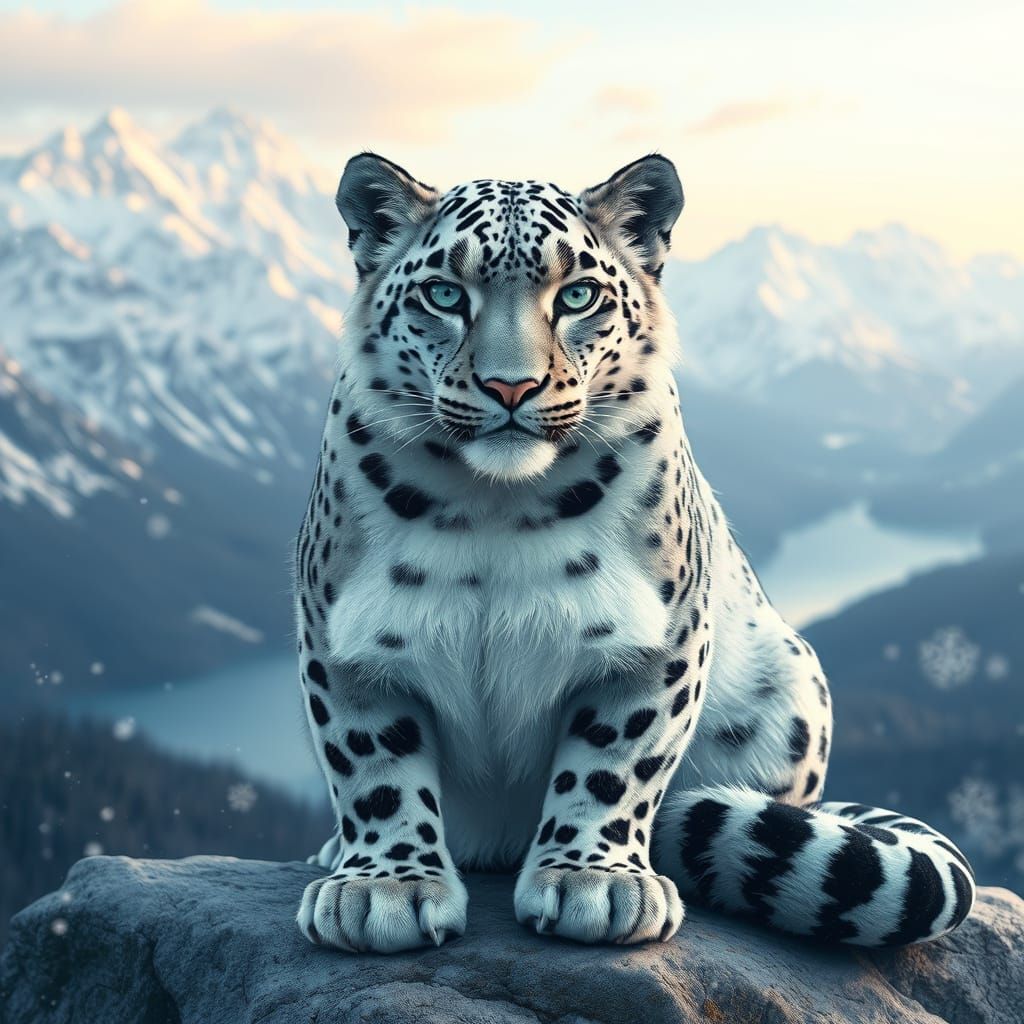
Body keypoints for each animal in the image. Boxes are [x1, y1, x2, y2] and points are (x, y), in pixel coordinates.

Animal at [292, 152, 975, 953]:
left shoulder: (655, 637)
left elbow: (615, 761)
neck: (494, 509)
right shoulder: (348, 640)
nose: (510, 386)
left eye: (577, 294)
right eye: (444, 293)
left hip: (794, 685)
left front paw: (593, 882)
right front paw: (385, 887)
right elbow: (373, 766)